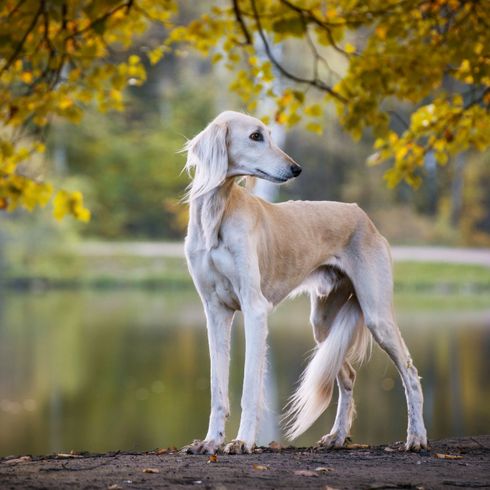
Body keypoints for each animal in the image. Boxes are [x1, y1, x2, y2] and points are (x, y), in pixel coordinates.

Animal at [182, 111, 426, 456]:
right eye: (255, 136)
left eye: (269, 135)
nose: (296, 169)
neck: (216, 214)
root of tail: (362, 215)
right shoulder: (215, 312)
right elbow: (218, 388)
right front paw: (211, 441)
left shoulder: (255, 309)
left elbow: (249, 388)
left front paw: (243, 441)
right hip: (323, 323)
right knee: (348, 375)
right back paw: (337, 435)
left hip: (377, 314)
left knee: (410, 373)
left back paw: (417, 436)